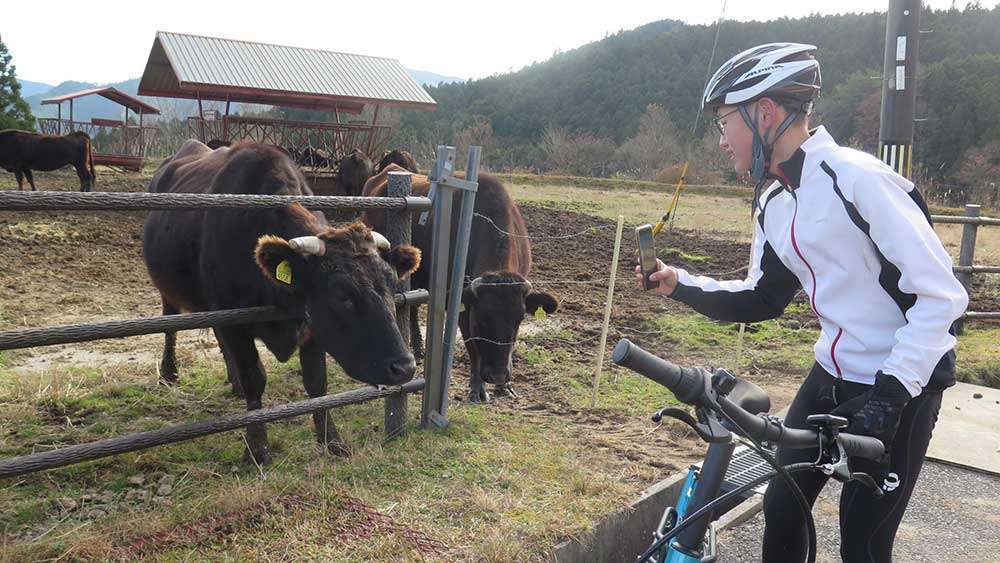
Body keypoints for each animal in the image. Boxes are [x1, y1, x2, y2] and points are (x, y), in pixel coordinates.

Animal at [144, 140, 418, 462]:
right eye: (341, 295)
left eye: (391, 281)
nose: (405, 367)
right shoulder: (234, 320)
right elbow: (255, 378)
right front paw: (257, 446)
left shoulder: (311, 327)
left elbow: (317, 382)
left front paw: (331, 439)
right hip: (170, 291)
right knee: (170, 326)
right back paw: (170, 372)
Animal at [364, 165, 560, 404]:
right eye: (481, 319)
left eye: (519, 319)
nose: (497, 375)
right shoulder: (463, 309)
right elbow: (473, 349)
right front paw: (477, 389)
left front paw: (505, 386)